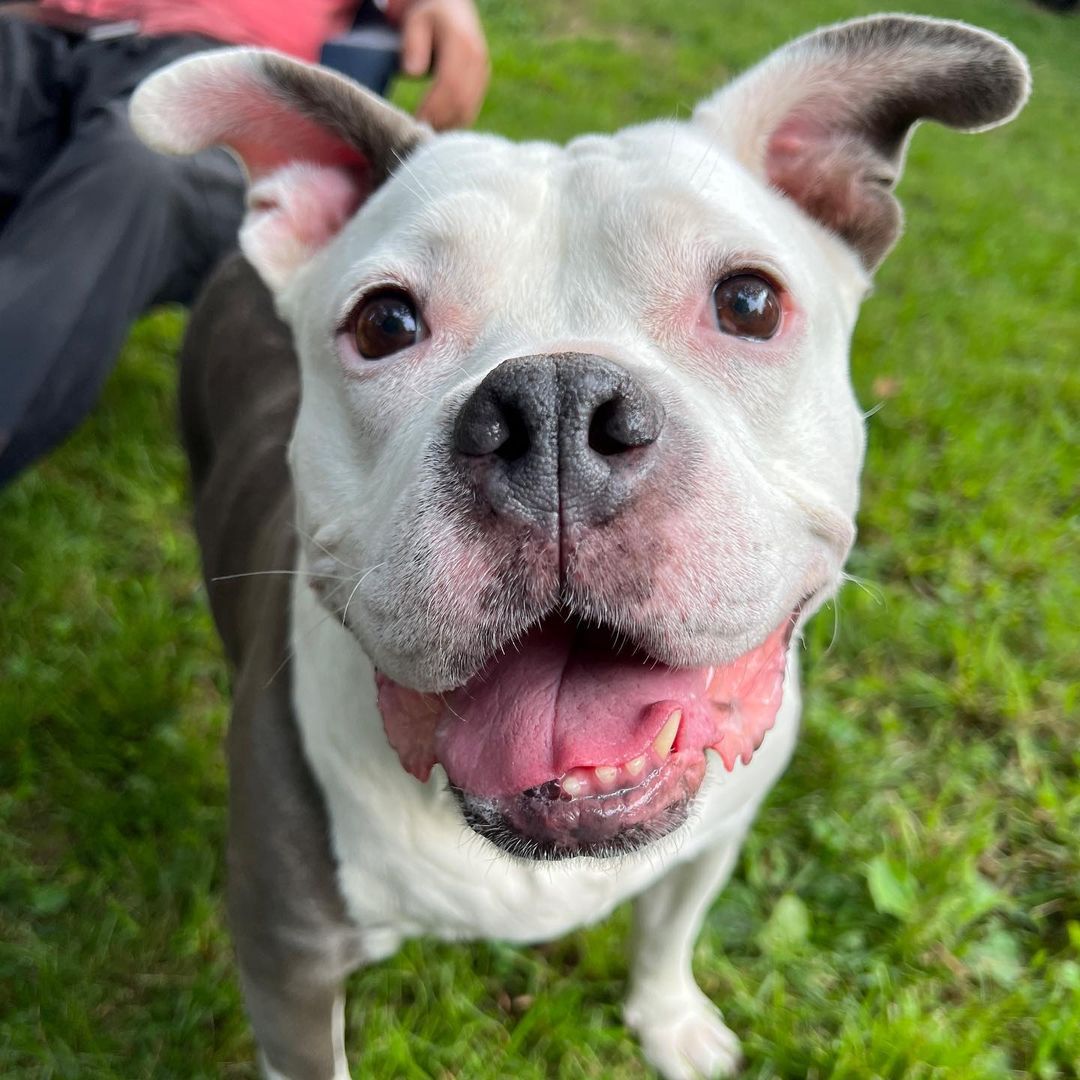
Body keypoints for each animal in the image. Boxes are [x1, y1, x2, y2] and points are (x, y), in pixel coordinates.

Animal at [132, 16, 1028, 1080]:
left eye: (750, 303)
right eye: (385, 322)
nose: (554, 408)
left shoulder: (712, 843)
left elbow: (669, 930)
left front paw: (670, 1021)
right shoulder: (288, 959)